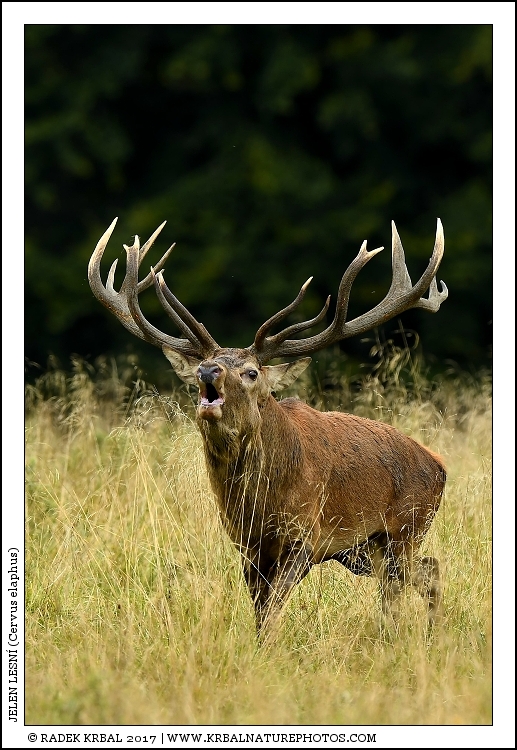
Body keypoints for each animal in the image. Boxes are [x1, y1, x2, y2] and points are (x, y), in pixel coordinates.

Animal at [88, 217, 448, 638]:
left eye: (251, 372)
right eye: (202, 368)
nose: (207, 370)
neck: (261, 503)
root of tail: (440, 466)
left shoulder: (304, 536)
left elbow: (273, 611)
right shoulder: (247, 546)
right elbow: (260, 614)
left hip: (405, 528)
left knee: (413, 578)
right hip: (365, 549)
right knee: (423, 573)